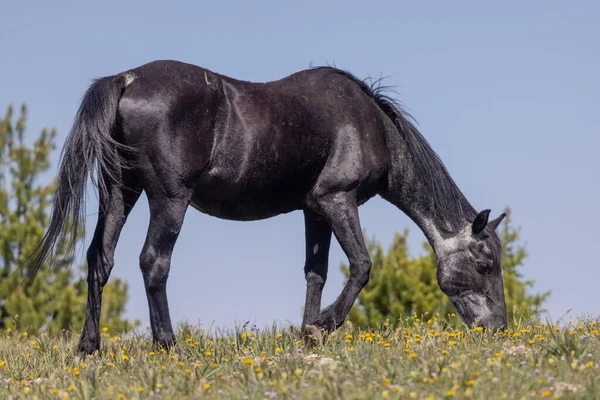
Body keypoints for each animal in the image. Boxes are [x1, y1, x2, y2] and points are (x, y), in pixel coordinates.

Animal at [28, 59, 506, 354]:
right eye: (484, 265)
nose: (498, 329)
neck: (371, 126)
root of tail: (126, 79)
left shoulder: (314, 210)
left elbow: (316, 273)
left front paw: (307, 335)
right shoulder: (337, 200)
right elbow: (362, 265)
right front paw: (323, 325)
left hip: (119, 193)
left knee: (100, 259)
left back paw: (89, 347)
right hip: (168, 198)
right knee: (154, 262)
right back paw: (168, 345)